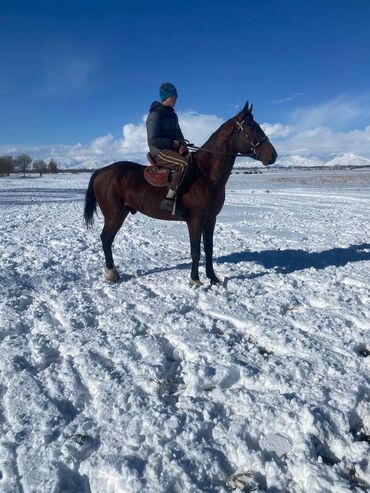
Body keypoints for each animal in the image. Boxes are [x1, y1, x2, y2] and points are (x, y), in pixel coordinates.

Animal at [84, 103, 278, 284]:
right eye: (252, 128)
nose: (273, 155)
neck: (206, 174)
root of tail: (101, 171)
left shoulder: (210, 219)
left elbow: (209, 249)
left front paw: (213, 278)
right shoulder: (195, 220)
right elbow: (195, 251)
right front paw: (195, 280)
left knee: (107, 239)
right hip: (114, 215)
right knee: (106, 239)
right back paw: (111, 273)